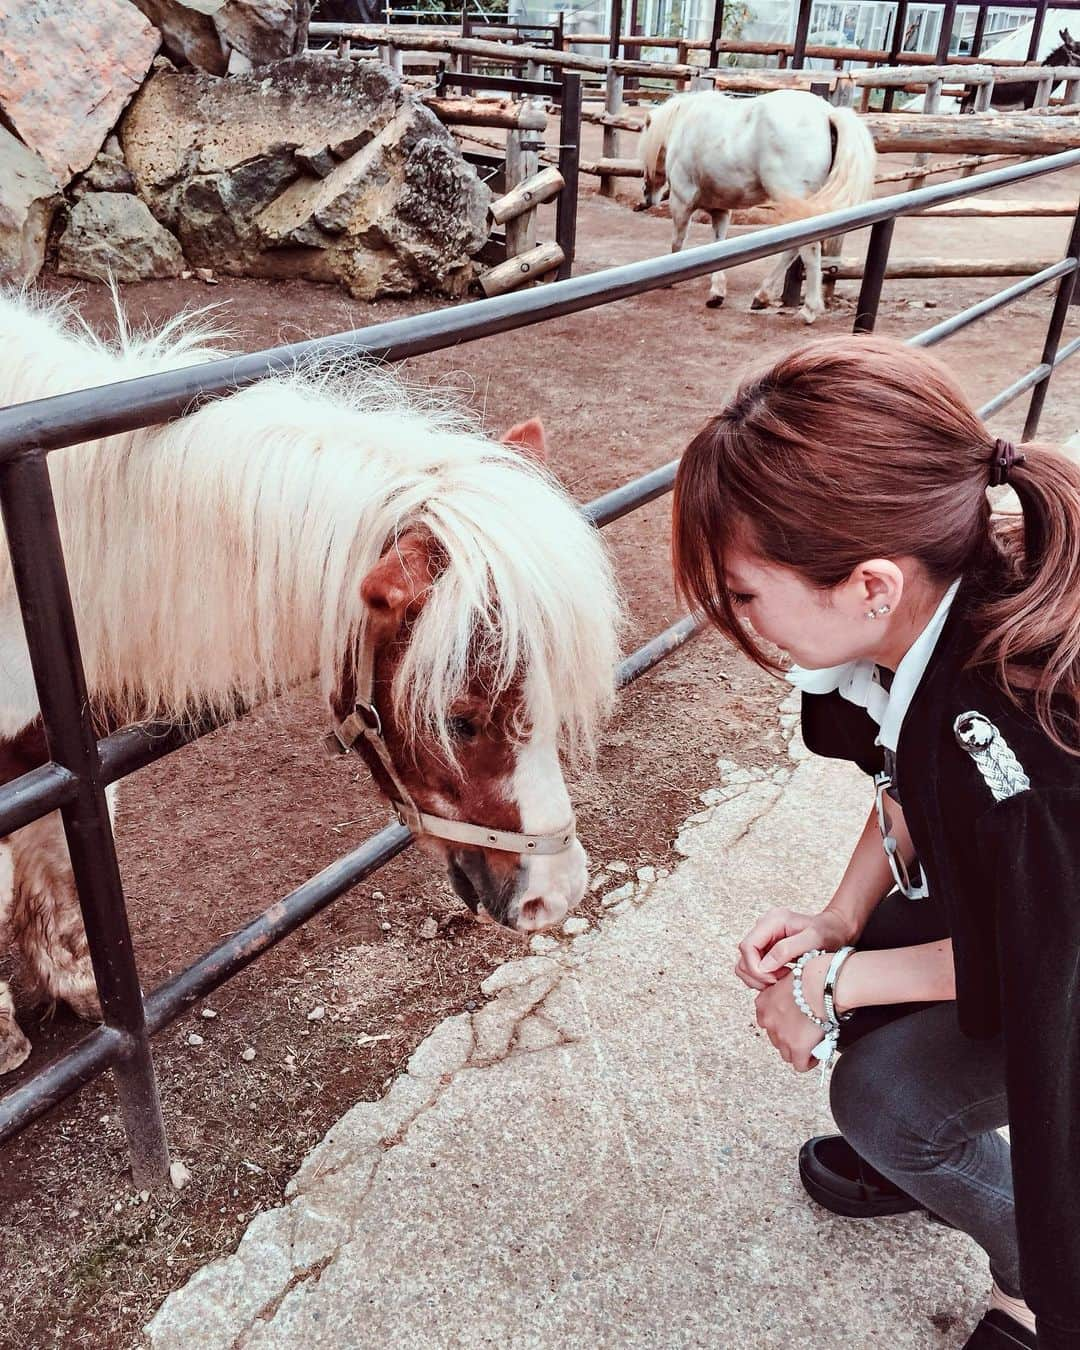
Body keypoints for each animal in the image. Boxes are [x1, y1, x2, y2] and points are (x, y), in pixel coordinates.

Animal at [0, 292, 623, 1074]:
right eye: (459, 720)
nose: (557, 896)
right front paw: (8, 1035)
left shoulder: (60, 759)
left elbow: (59, 856)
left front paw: (78, 985)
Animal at [631, 90, 874, 324]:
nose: (646, 197)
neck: (684, 125)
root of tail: (827, 113)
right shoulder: (720, 210)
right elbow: (717, 248)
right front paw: (716, 293)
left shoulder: (681, 202)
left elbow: (677, 242)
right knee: (795, 248)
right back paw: (762, 297)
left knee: (808, 249)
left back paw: (807, 310)